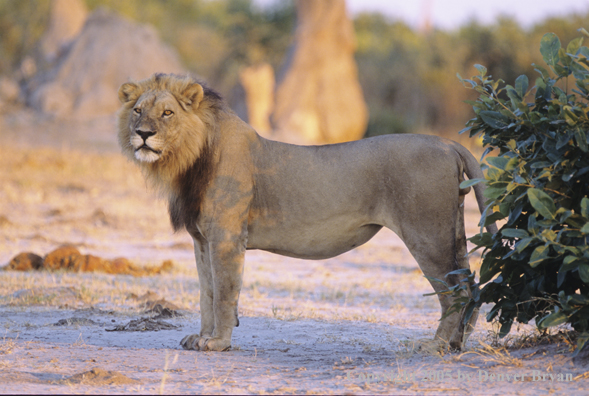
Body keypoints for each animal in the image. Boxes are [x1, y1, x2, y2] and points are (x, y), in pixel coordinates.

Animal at [117, 72, 494, 352]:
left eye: (167, 113)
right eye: (138, 111)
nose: (143, 134)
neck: (189, 160)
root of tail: (448, 143)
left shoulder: (226, 236)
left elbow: (224, 291)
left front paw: (218, 343)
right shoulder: (201, 240)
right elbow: (206, 292)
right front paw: (201, 337)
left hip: (427, 234)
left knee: (456, 292)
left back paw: (436, 346)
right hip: (452, 231)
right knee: (470, 285)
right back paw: (458, 344)